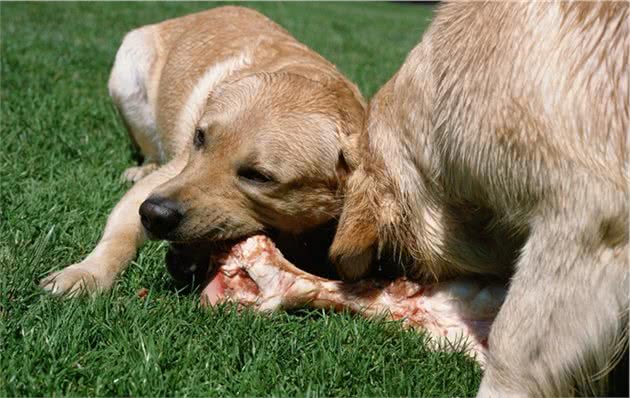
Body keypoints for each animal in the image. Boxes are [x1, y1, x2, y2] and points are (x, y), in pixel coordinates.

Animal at [40, 5, 366, 296]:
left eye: (258, 176)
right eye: (199, 138)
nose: (153, 214)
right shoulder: (158, 183)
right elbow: (119, 235)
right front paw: (85, 274)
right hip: (127, 76)